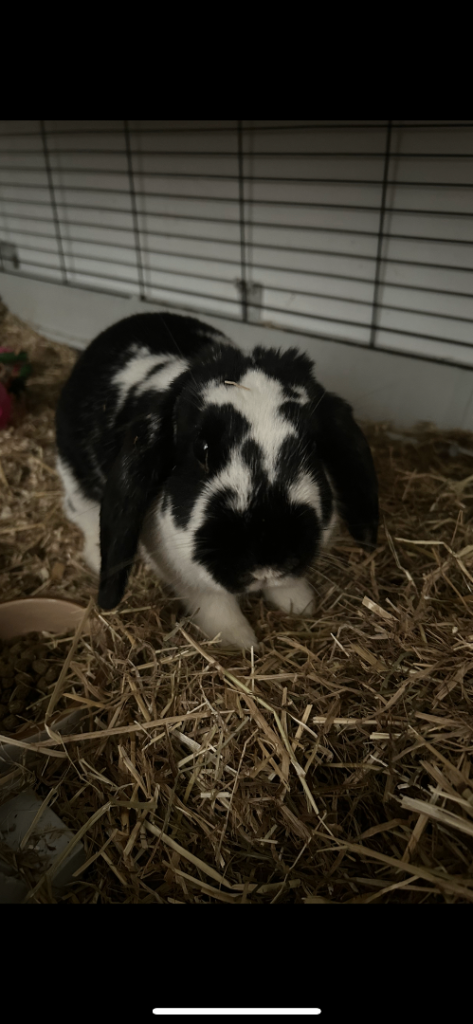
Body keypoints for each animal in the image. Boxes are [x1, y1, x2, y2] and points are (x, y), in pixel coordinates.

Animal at [55, 311, 378, 650]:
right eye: (202, 449)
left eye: (313, 446)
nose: (266, 560)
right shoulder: (179, 566)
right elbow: (211, 600)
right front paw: (240, 640)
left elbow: (284, 587)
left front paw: (300, 604)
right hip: (74, 477)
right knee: (80, 511)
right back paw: (95, 557)